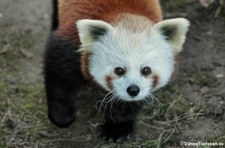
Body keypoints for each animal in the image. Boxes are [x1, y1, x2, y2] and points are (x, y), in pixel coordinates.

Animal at [44, 0, 190, 142]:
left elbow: (126, 105)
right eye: (119, 70)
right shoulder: (70, 47)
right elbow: (58, 77)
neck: (126, 14)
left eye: (146, 70)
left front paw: (118, 128)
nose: (133, 90)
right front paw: (61, 115)